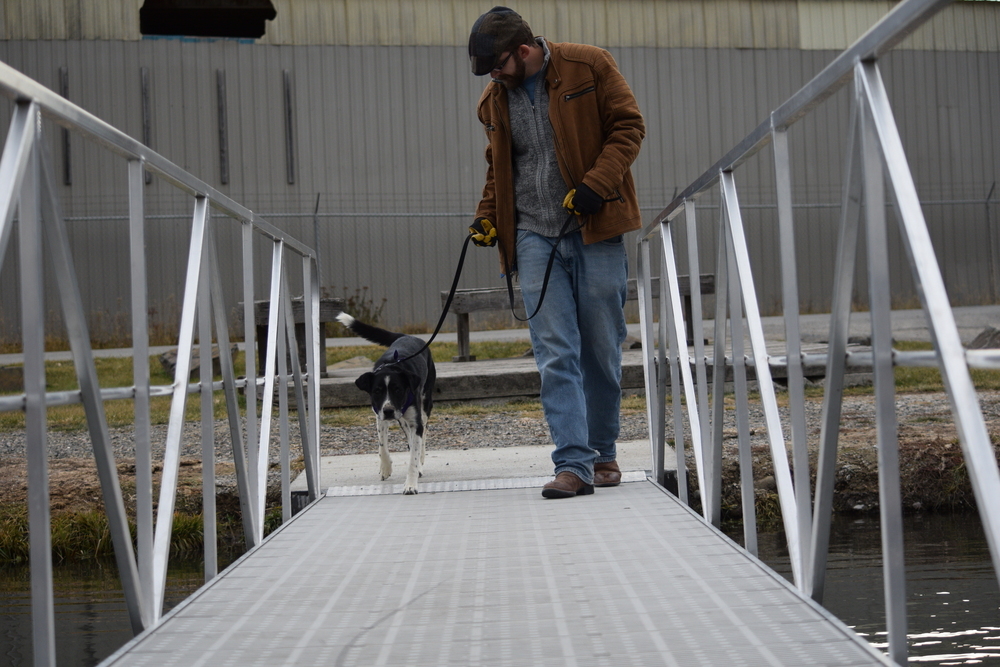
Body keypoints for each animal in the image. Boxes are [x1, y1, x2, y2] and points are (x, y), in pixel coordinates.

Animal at [336, 310, 434, 494]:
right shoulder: (379, 415)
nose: (389, 411)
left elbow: (413, 456)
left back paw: (421, 461)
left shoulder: (414, 420)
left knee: (422, 433)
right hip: (402, 419)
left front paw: (411, 484)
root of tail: (407, 336)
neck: (392, 367)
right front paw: (386, 468)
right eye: (377, 391)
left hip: (425, 403)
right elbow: (382, 445)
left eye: (398, 390)